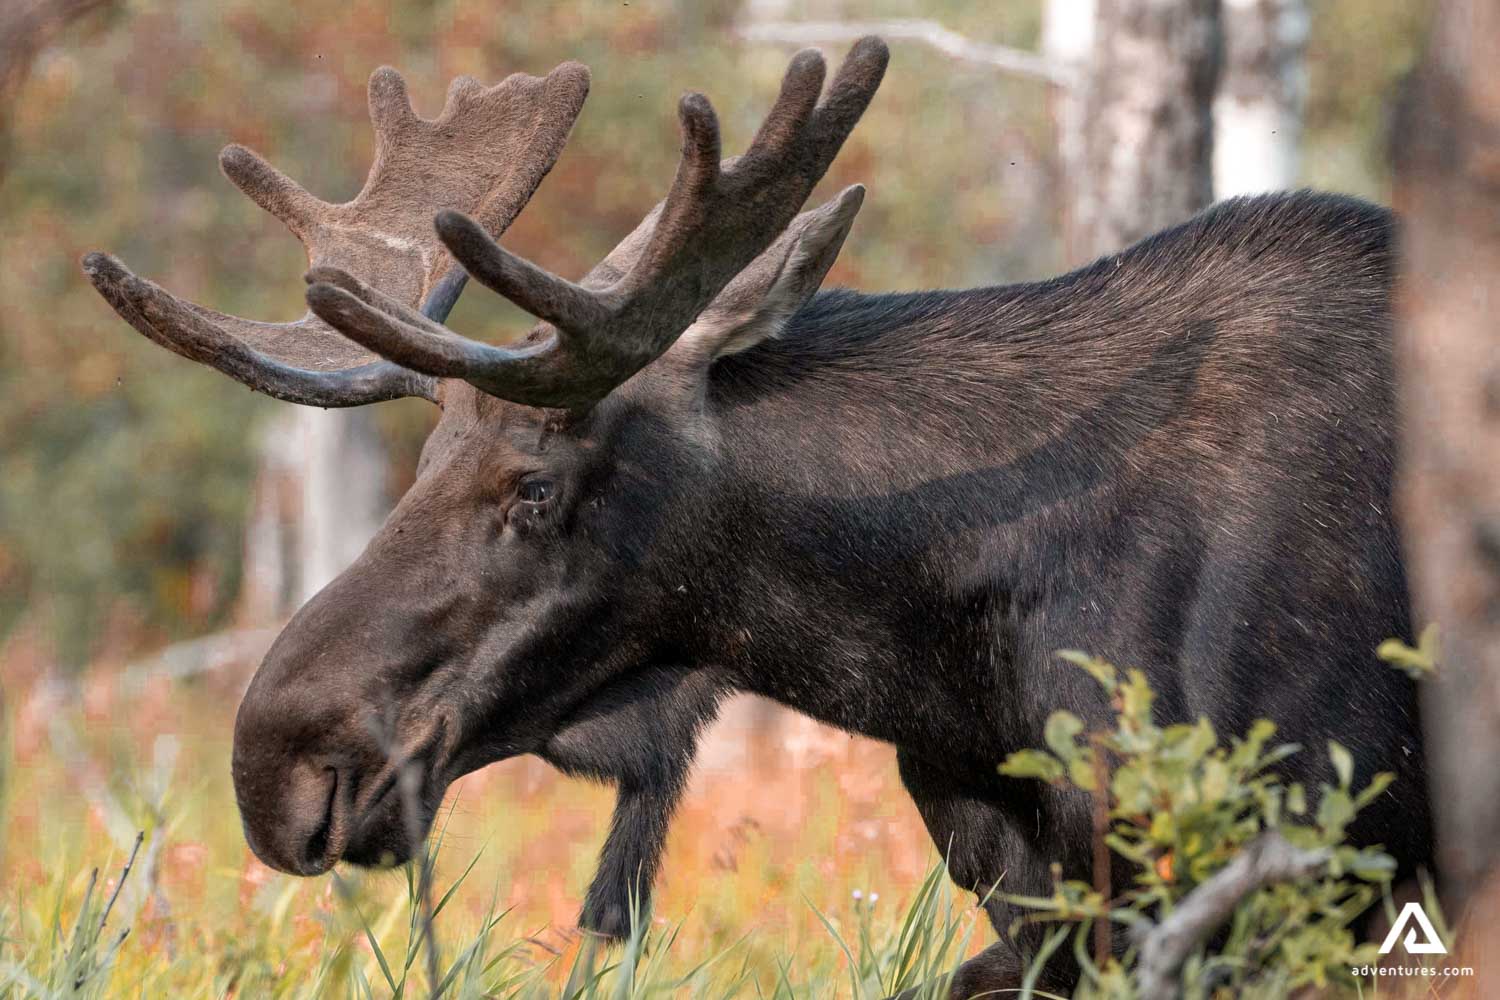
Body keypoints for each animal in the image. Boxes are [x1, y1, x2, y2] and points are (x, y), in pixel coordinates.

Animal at [82, 37, 1431, 996]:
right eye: (419, 464)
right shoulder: (1039, 894)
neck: (947, 670)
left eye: (535, 488)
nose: (275, 761)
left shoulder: (1294, 862)